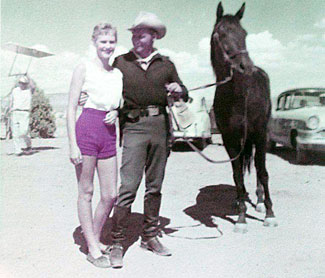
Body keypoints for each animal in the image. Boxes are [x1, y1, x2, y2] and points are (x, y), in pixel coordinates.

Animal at [210, 2, 276, 232]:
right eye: (221, 33)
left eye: (244, 33)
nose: (245, 66)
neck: (238, 95)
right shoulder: (229, 138)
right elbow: (237, 174)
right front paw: (240, 217)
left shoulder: (260, 133)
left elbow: (263, 172)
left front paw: (270, 214)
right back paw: (240, 201)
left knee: (257, 167)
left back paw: (259, 202)